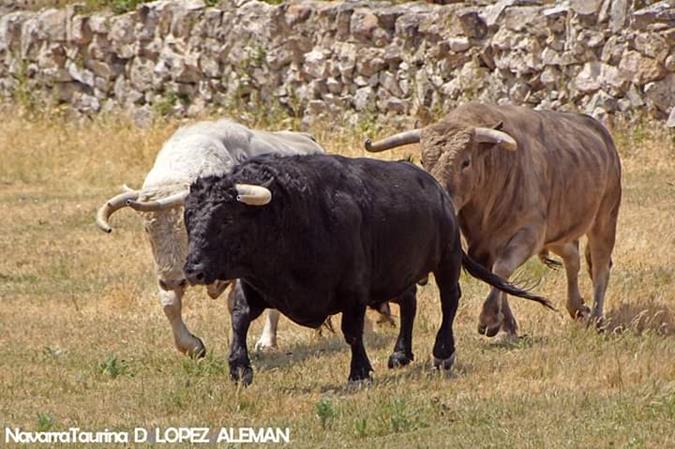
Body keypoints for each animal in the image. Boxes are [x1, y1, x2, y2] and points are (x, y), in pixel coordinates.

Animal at [96, 117, 326, 356]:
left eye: (187, 226)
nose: (172, 279)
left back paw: (267, 342)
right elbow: (169, 304)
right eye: (147, 229)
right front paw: (192, 347)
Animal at [185, 153, 556, 382]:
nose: (193, 270)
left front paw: (359, 371)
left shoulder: (353, 289)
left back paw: (442, 353)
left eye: (226, 219)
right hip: (400, 272)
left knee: (449, 300)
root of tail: (435, 187)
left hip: (446, 260)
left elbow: (352, 330)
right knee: (409, 302)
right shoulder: (255, 284)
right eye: (189, 217)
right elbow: (239, 318)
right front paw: (239, 368)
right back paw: (401, 354)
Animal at [370, 102, 624, 336]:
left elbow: (502, 268)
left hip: (605, 217)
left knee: (600, 266)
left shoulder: (529, 233)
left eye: (465, 162)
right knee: (573, 258)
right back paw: (577, 308)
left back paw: (598, 318)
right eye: (423, 161)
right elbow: (496, 277)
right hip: (560, 231)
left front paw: (490, 318)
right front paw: (507, 325)